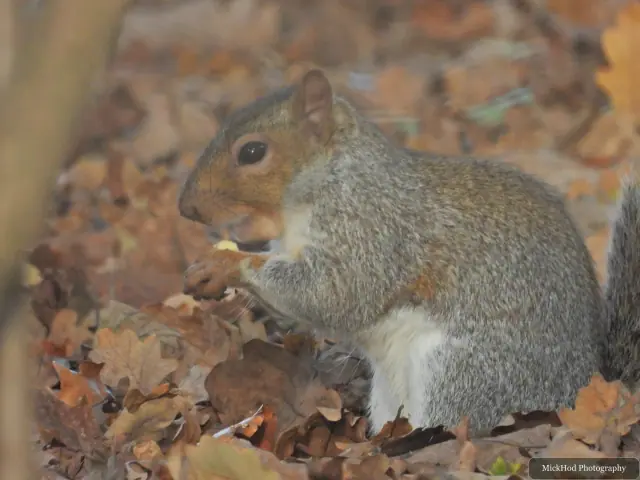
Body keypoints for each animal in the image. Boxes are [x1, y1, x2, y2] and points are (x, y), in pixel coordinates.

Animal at [178, 69, 640, 435]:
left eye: (252, 152)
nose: (186, 208)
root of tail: (586, 384)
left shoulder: (369, 230)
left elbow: (335, 293)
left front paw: (227, 263)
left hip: (462, 372)